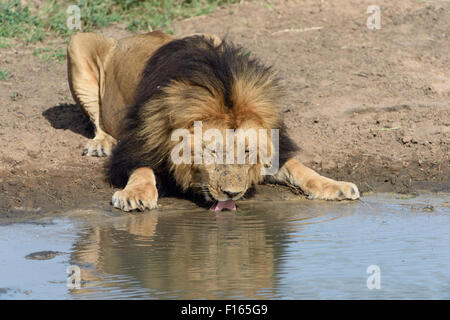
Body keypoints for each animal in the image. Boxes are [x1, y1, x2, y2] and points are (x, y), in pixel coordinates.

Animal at [67, 30, 360, 212]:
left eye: (247, 152)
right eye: (211, 152)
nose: (232, 194)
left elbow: (300, 168)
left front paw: (335, 186)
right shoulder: (138, 142)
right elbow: (141, 169)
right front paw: (134, 195)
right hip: (77, 43)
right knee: (98, 122)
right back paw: (100, 144)